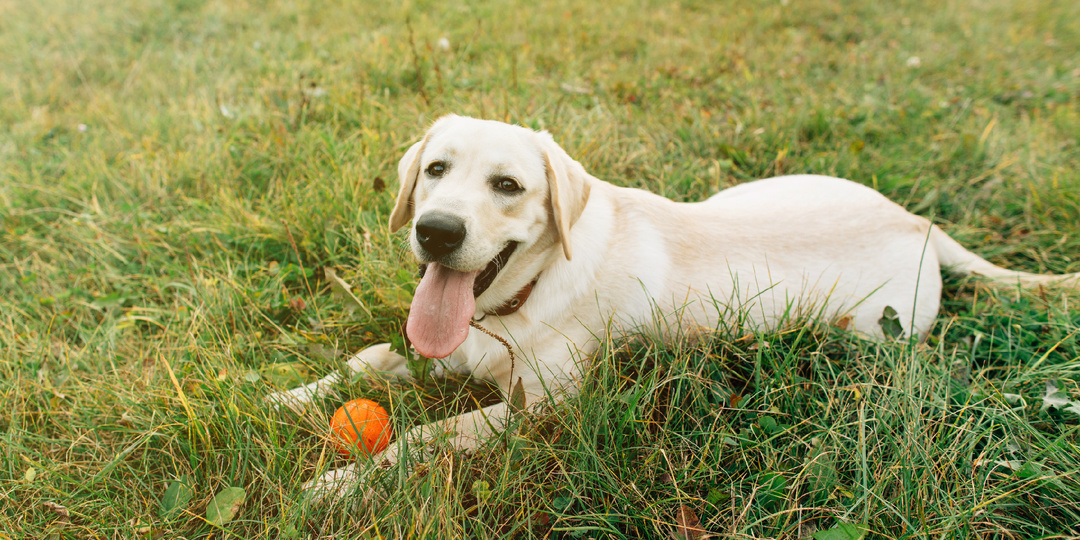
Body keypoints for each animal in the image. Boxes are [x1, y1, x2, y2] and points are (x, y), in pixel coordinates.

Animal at [272, 113, 1080, 496]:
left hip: (869, 333)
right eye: (436, 170)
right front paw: (283, 396)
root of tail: (919, 223)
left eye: (508, 187)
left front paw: (339, 485)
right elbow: (371, 358)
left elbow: (426, 438)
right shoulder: (439, 350)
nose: (436, 231)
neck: (512, 304)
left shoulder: (539, 410)